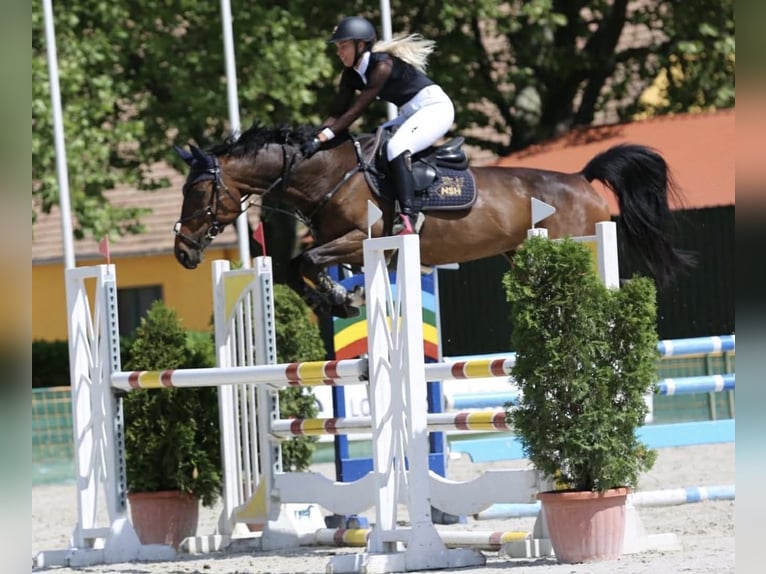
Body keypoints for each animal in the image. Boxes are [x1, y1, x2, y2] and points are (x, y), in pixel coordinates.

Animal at [173, 122, 693, 317]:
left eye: (196, 191)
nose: (181, 252)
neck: (325, 175)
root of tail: (581, 179)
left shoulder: (364, 237)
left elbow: (305, 261)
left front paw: (342, 297)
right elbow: (297, 265)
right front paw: (335, 300)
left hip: (578, 249)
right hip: (525, 258)